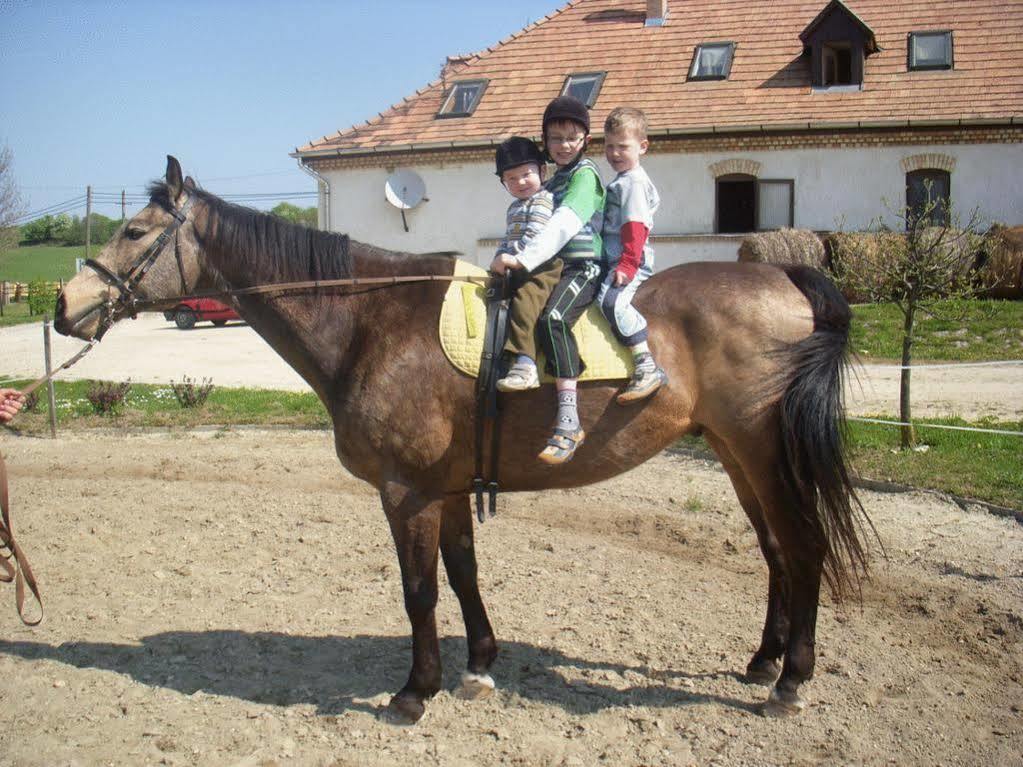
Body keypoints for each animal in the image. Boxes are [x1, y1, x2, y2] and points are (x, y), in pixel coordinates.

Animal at [53, 157, 871, 728]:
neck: (373, 321)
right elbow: (463, 572)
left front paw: (416, 691)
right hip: (737, 456)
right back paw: (763, 661)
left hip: (764, 453)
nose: (65, 305)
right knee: (775, 550)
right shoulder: (445, 489)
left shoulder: (405, 491)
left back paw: (791, 680)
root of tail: (785, 274)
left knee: (803, 546)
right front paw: (478, 665)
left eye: (133, 232)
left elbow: (418, 590)